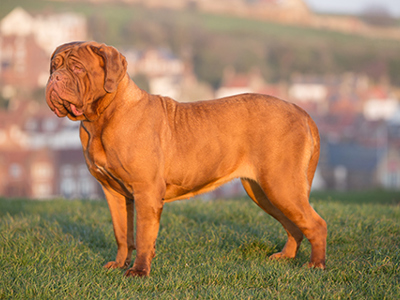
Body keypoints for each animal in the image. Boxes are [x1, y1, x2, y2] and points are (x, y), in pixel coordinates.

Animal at [47, 40, 326, 276]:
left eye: (78, 68)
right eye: (54, 65)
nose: (54, 78)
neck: (101, 119)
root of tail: (301, 111)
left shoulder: (146, 191)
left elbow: (143, 234)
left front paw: (139, 271)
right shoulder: (114, 193)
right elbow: (122, 233)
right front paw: (119, 264)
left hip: (281, 186)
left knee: (315, 223)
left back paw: (316, 265)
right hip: (263, 191)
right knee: (294, 225)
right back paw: (286, 257)